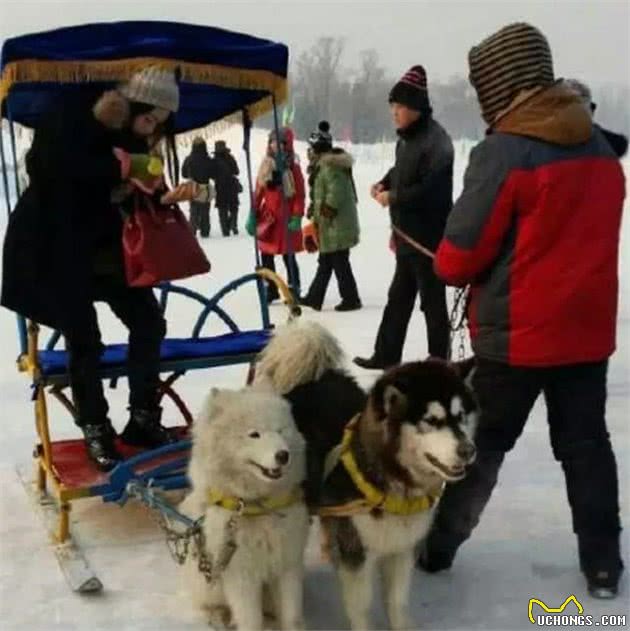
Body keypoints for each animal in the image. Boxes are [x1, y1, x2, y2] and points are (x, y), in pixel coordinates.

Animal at [179, 388, 310, 628]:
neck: (257, 507)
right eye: (254, 434)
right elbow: (251, 619)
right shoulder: (241, 575)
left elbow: (292, 616)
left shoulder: (288, 566)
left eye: (280, 430)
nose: (283, 455)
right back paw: (215, 617)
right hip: (209, 583)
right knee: (208, 604)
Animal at [256, 324, 478, 628]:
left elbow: (397, 602)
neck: (394, 484)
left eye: (461, 416)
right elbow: (361, 606)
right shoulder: (356, 553)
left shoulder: (401, 548)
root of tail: (312, 377)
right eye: (431, 421)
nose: (469, 451)